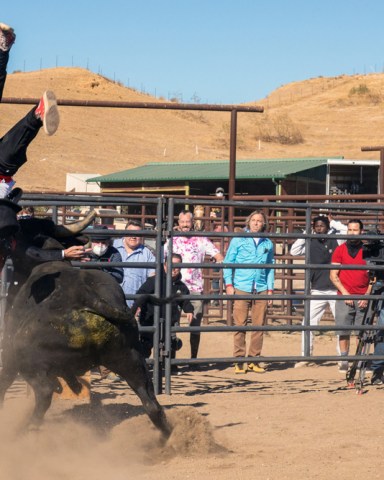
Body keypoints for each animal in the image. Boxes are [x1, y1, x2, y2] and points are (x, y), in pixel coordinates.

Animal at [0, 251, 171, 436]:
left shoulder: (10, 351)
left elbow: (5, 378)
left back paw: (27, 428)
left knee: (44, 391)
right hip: (131, 359)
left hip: (25, 358)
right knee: (151, 404)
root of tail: (89, 297)